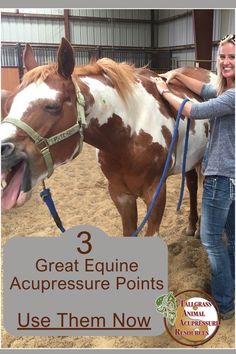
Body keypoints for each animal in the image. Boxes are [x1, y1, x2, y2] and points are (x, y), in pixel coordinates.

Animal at [0, 37, 211, 236]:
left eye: (52, 106)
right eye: (8, 104)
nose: (3, 149)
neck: (129, 136)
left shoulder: (155, 194)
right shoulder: (120, 195)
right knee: (192, 184)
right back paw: (192, 226)